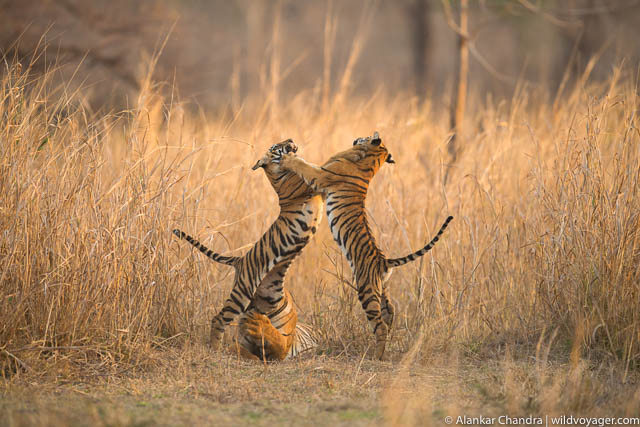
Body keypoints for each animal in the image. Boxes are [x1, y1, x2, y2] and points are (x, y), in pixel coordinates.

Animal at [172, 140, 320, 362]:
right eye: (277, 145)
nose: (291, 141)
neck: (275, 174)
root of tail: (239, 260)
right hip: (243, 289)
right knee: (219, 318)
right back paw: (215, 348)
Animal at [276, 131, 456, 362]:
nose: (356, 137)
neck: (371, 160)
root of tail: (385, 261)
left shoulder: (321, 175)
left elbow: (304, 165)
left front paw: (288, 158)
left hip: (366, 288)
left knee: (379, 324)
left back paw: (376, 355)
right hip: (381, 289)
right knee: (390, 312)